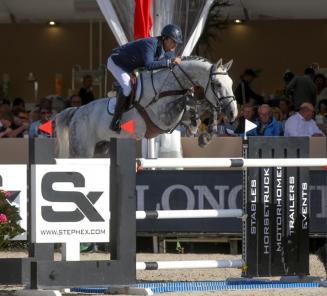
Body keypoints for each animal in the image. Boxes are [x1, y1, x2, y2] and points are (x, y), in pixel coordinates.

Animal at [54, 55, 238, 157]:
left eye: (231, 83)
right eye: (217, 84)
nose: (233, 113)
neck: (170, 85)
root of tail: (77, 111)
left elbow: (201, 106)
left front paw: (204, 134)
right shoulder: (164, 117)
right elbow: (187, 102)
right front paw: (198, 131)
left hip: (101, 149)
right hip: (83, 150)